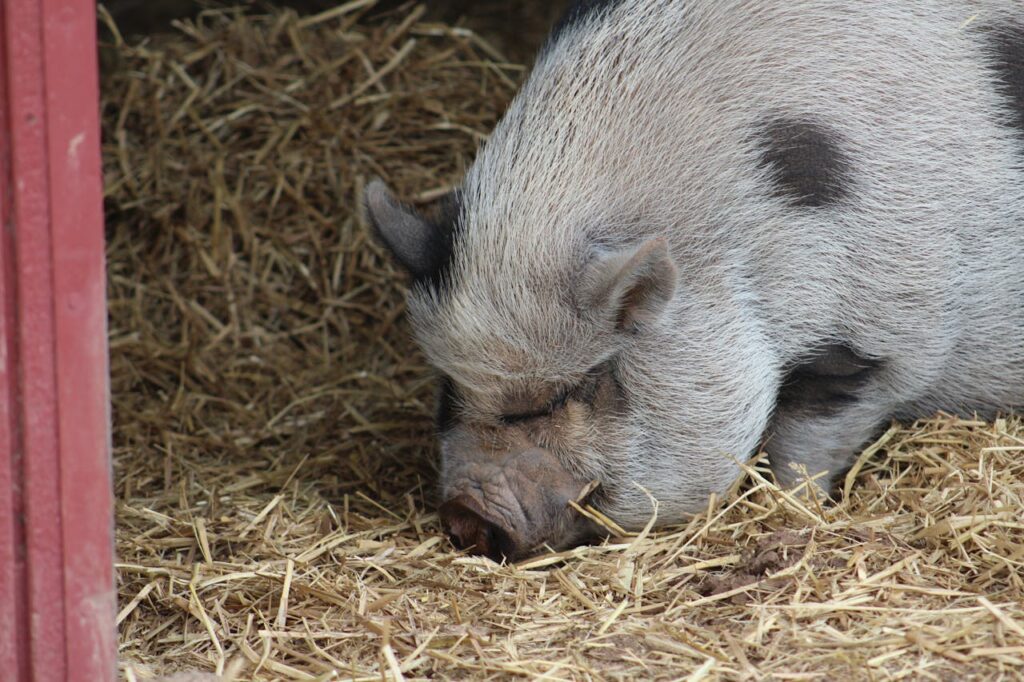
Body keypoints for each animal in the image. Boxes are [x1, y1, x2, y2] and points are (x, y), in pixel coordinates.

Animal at [364, 1, 1024, 557]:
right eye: (449, 389)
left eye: (570, 391)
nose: (465, 514)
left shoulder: (878, 336)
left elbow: (805, 443)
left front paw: (791, 509)